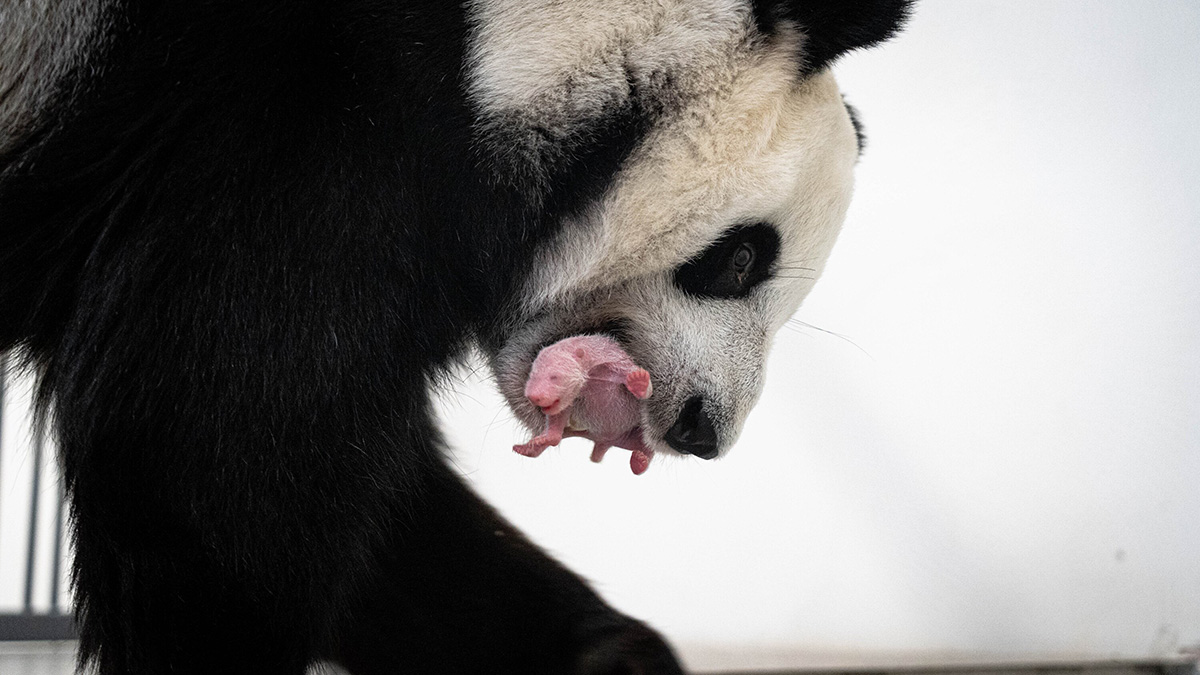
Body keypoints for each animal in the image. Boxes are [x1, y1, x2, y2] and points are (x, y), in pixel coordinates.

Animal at [0, 1, 907, 672]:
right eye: (743, 256)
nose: (703, 428)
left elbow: (380, 512)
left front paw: (604, 651)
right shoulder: (295, 127)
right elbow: (210, 463)